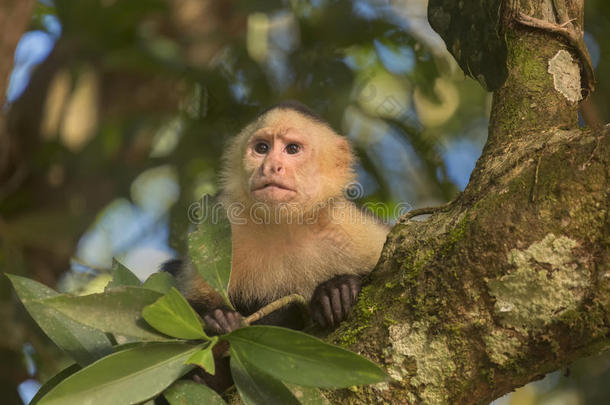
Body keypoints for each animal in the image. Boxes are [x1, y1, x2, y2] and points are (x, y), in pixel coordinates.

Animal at [164, 99, 388, 332]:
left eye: (292, 149)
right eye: (262, 148)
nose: (271, 166)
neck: (284, 225)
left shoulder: (345, 224)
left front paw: (336, 290)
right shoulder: (223, 216)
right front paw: (216, 318)